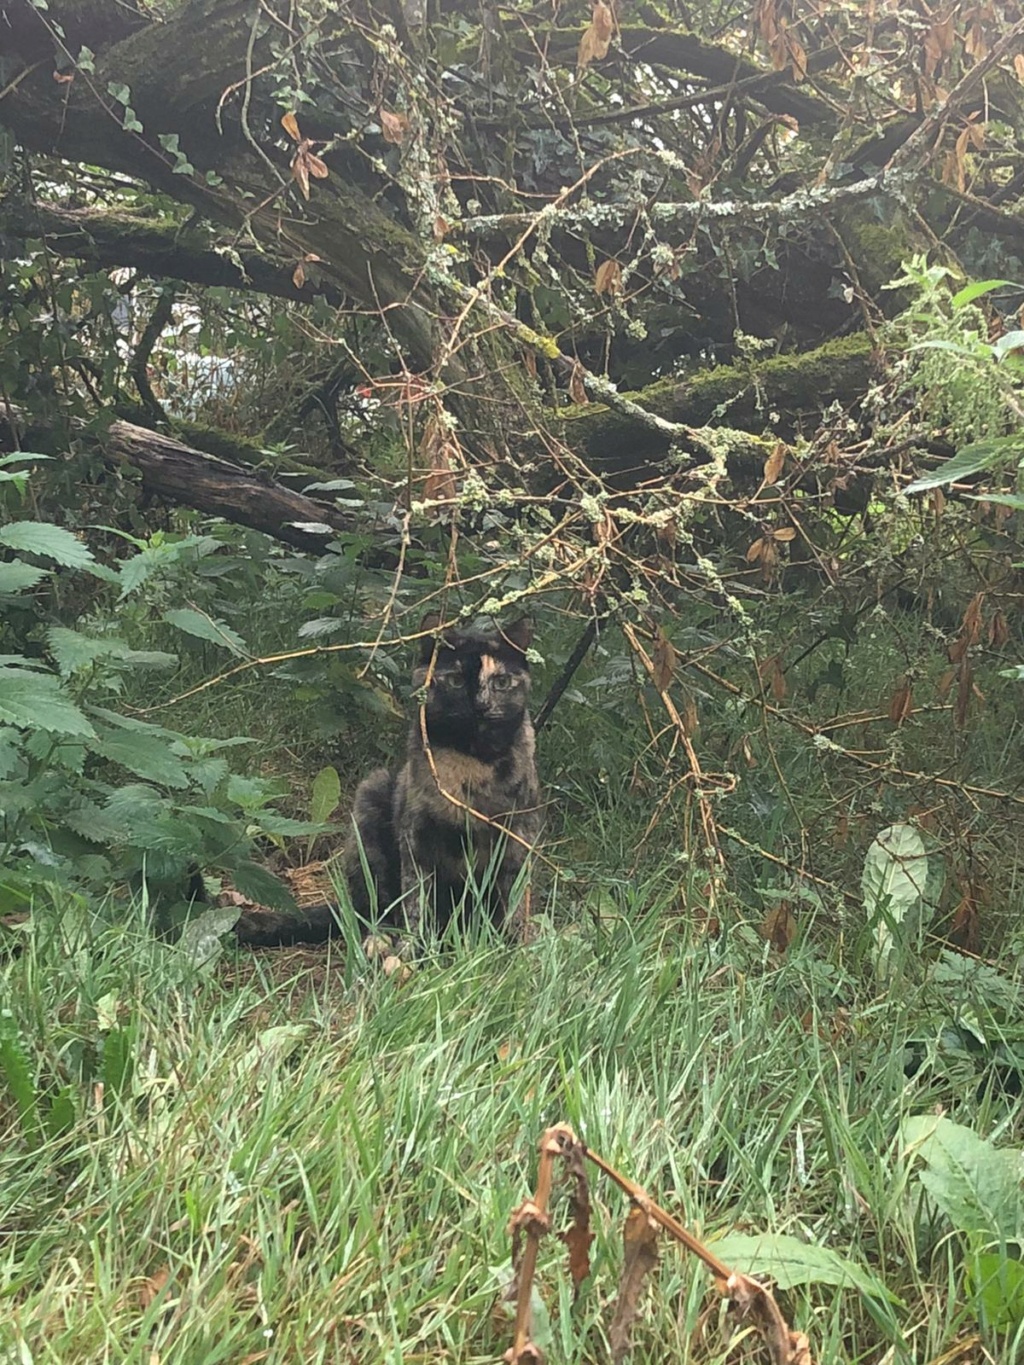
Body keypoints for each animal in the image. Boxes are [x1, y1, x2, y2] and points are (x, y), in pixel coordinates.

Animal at [234, 619, 546, 950]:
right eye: (456, 680)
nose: (481, 706)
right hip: (370, 804)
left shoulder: (517, 837)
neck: (470, 767)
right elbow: (416, 901)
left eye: (501, 681)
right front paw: (414, 949)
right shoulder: (417, 839)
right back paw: (380, 942)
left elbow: (512, 901)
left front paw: (510, 946)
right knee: (374, 906)